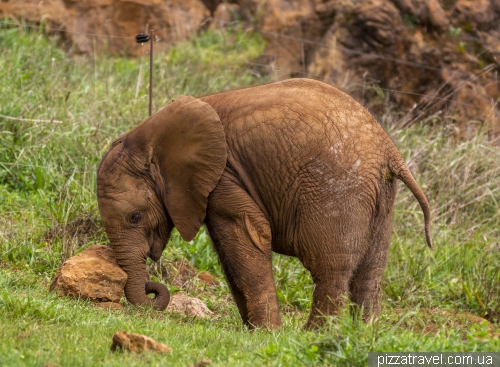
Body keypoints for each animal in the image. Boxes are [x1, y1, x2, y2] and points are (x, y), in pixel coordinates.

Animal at [96, 78, 430, 330]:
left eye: (135, 217)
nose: (152, 288)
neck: (150, 138)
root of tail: (388, 148)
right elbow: (228, 252)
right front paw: (252, 329)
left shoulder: (223, 176)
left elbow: (247, 238)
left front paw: (266, 333)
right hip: (381, 196)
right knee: (370, 272)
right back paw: (362, 335)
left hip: (338, 188)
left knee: (330, 269)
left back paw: (316, 335)